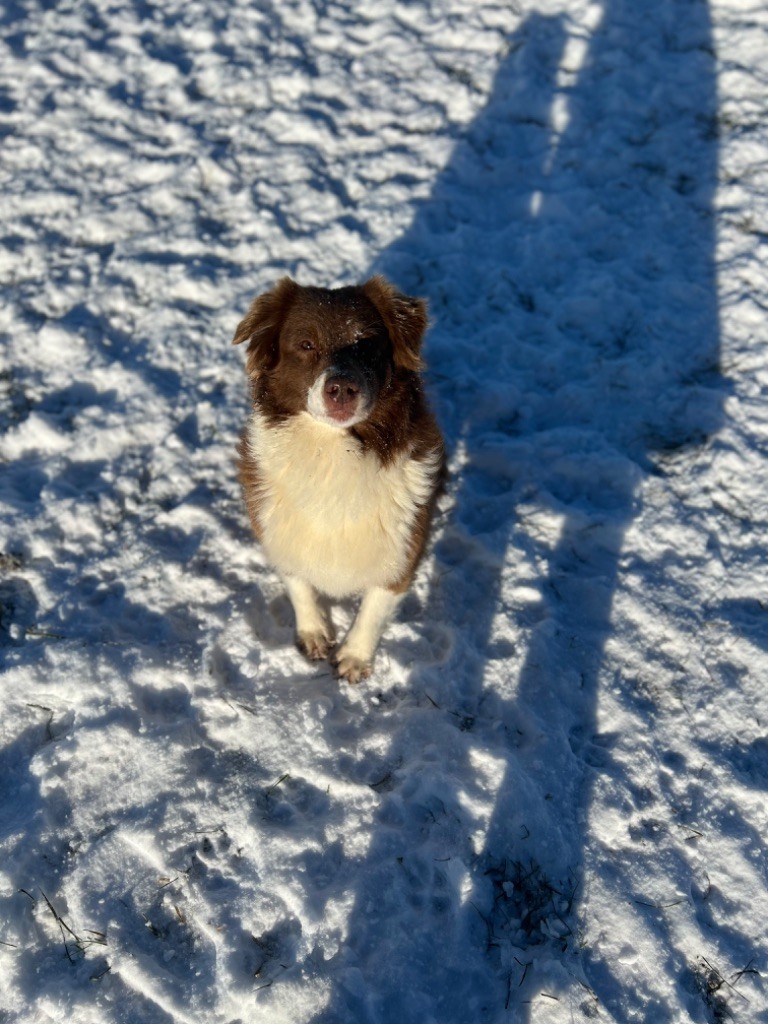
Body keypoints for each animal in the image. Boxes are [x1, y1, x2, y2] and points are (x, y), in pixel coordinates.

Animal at [233, 276, 444, 684]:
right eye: (306, 344)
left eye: (366, 343)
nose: (342, 388)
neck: (332, 453)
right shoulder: (279, 532)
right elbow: (299, 585)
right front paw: (314, 632)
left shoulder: (402, 551)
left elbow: (374, 609)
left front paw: (355, 657)